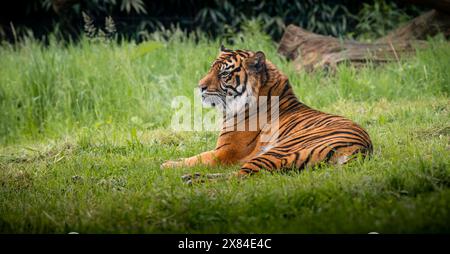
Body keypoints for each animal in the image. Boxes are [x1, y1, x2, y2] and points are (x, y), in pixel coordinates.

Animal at [162, 44, 372, 182]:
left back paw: (192, 178)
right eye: (210, 69)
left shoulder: (224, 152)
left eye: (224, 74)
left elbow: (196, 158)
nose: (200, 87)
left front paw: (167, 164)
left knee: (240, 177)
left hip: (279, 150)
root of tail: (362, 149)